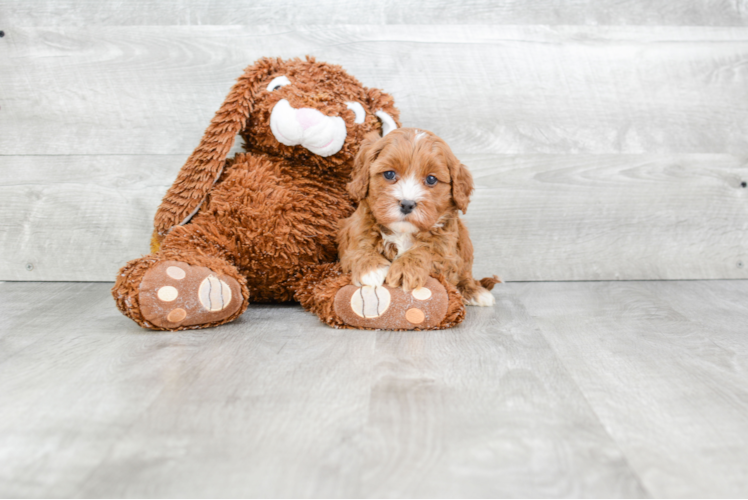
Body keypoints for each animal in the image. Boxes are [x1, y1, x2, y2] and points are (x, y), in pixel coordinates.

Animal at [338, 127, 500, 304]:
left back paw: (475, 291)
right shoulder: (356, 227)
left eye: (431, 179)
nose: (407, 204)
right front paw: (371, 268)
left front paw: (405, 269)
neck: (403, 232)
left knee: (465, 273)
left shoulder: (446, 248)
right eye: (389, 174)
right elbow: (360, 245)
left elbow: (426, 250)